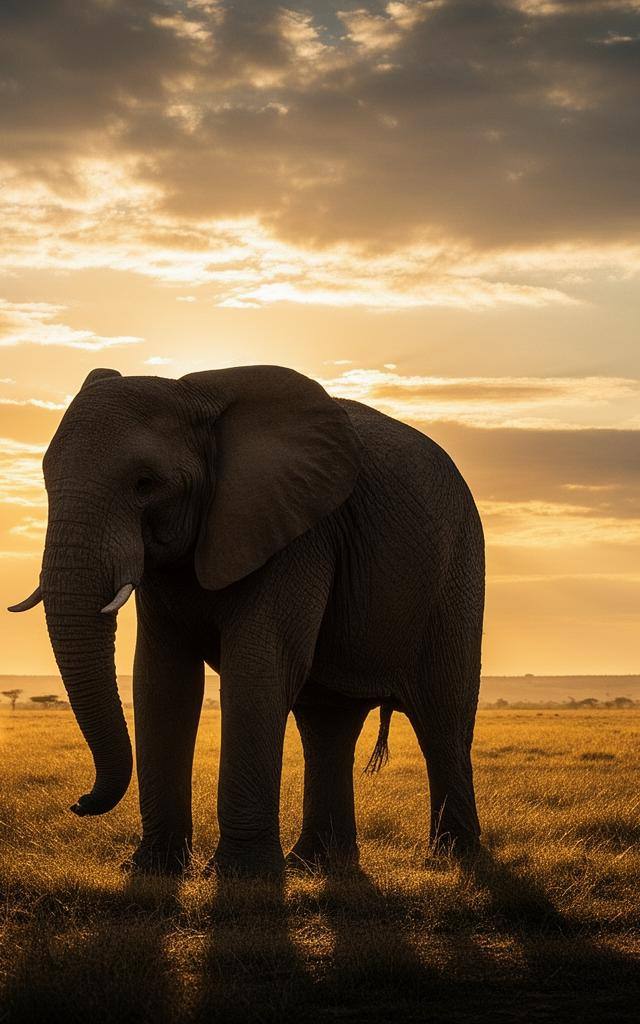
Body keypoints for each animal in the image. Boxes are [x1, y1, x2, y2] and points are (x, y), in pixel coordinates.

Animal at [9, 365, 484, 877]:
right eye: (45, 481)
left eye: (145, 483)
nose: (78, 803)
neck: (197, 398)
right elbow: (162, 679)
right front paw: (153, 870)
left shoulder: (296, 534)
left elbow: (256, 667)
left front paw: (241, 877)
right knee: (327, 726)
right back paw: (312, 865)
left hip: (457, 572)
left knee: (442, 716)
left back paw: (453, 859)